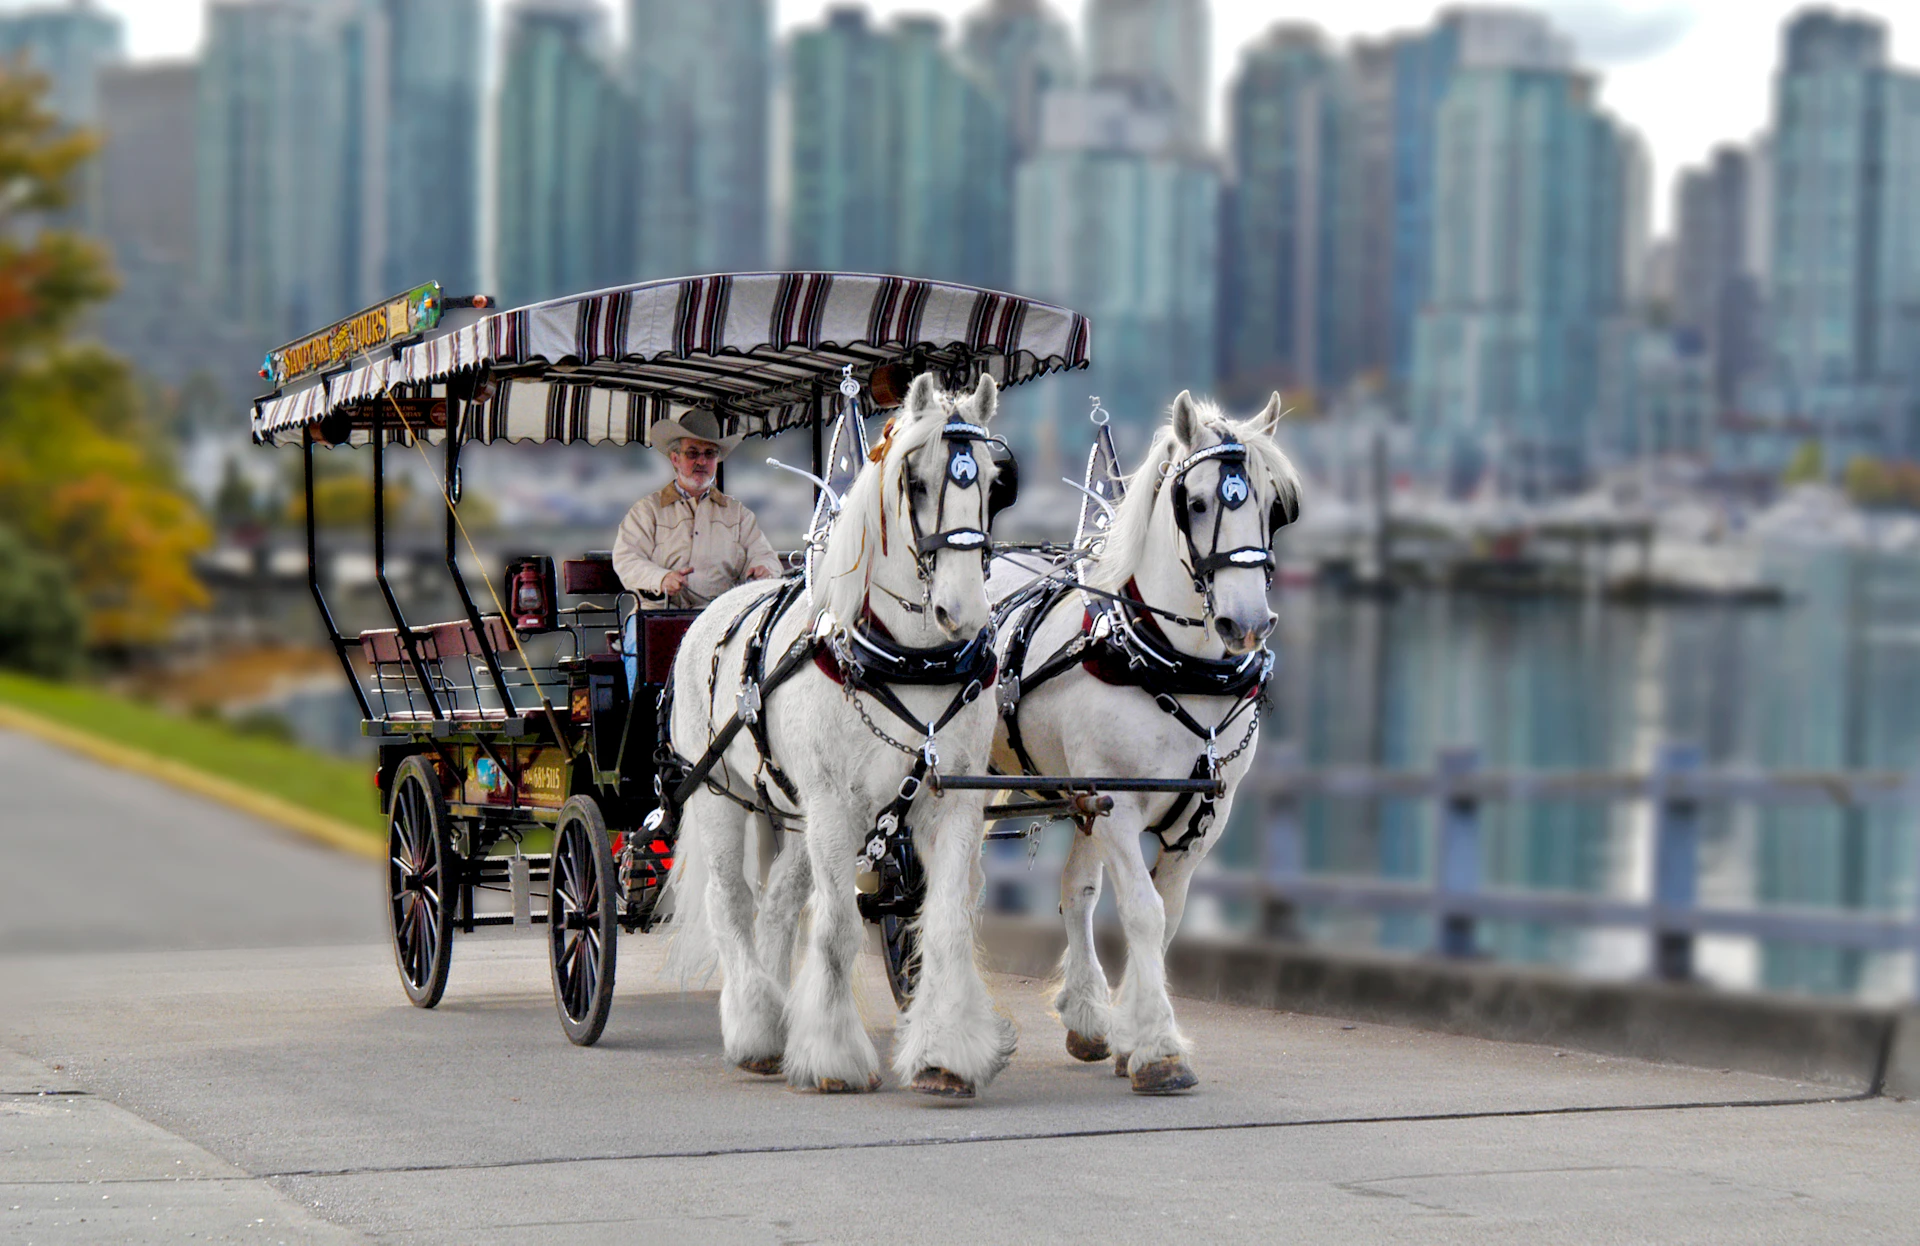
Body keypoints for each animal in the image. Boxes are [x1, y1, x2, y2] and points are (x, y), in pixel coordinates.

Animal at [661, 372, 1016, 1098]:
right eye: (915, 482)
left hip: (792, 812)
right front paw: (830, 1054)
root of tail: (710, 610)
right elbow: (834, 933)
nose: (964, 612)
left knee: (776, 906)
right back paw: (756, 1027)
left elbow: (943, 925)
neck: (906, 661)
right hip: (718, 794)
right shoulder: (834, 805)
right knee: (731, 902)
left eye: (995, 482)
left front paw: (944, 1052)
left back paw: (775, 1017)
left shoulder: (951, 803)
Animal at [987, 389, 1301, 1094]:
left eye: (1275, 506)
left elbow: (1167, 916)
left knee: (1075, 891)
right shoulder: (1119, 804)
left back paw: (1085, 1017)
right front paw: (1159, 1049)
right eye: (1198, 502)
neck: (1170, 663)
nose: (1247, 623)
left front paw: (1133, 1036)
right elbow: (1143, 911)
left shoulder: (1203, 816)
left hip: (1077, 795)